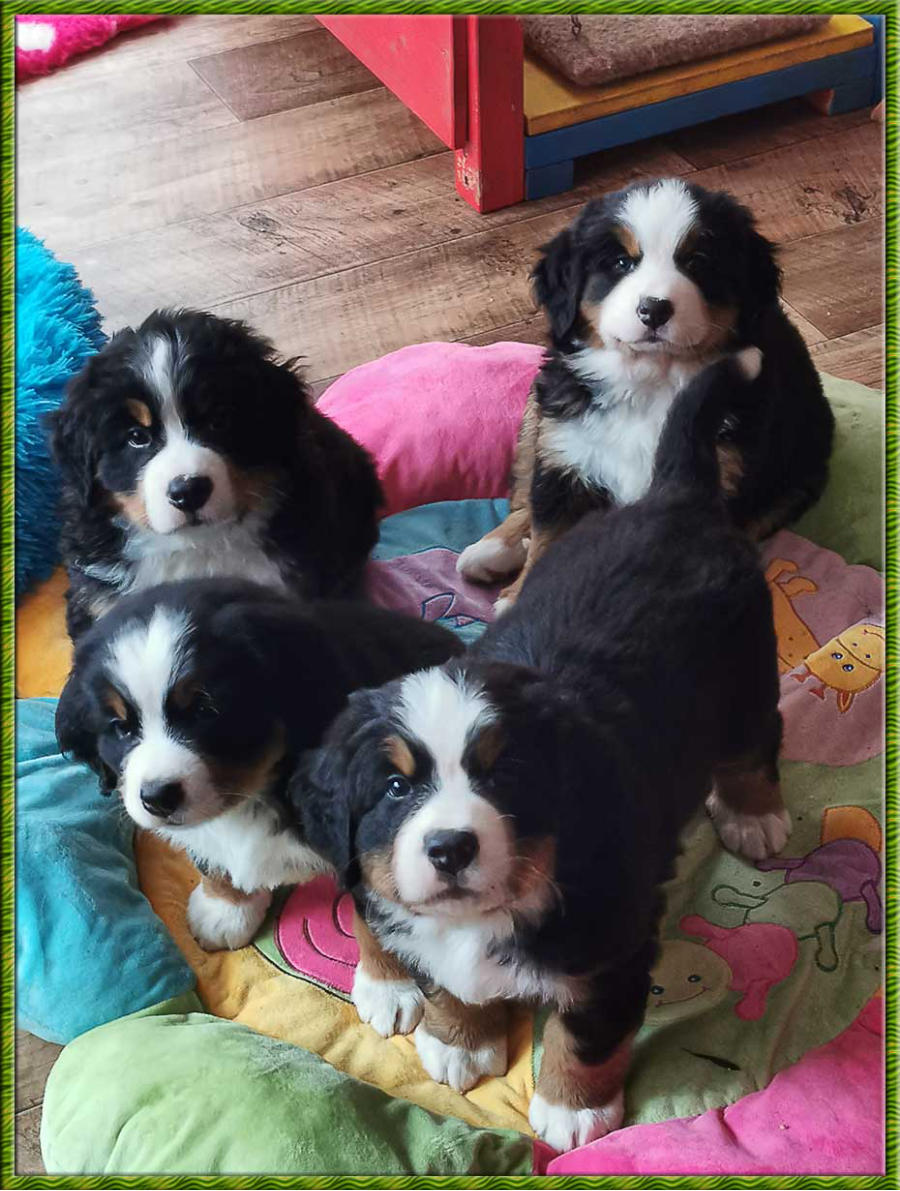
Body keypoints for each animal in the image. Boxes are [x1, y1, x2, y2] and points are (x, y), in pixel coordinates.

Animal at [295, 348, 789, 1152]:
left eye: (504, 777)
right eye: (397, 789)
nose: (449, 848)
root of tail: (672, 498)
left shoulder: (609, 946)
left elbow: (585, 1035)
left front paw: (572, 1108)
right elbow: (450, 985)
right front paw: (461, 1041)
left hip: (746, 675)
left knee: (753, 746)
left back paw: (755, 816)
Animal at [457, 178, 834, 612]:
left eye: (697, 262)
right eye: (621, 263)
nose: (653, 309)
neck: (650, 381)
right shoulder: (567, 455)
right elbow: (547, 535)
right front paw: (521, 602)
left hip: (798, 475)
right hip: (541, 418)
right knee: (525, 496)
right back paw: (494, 548)